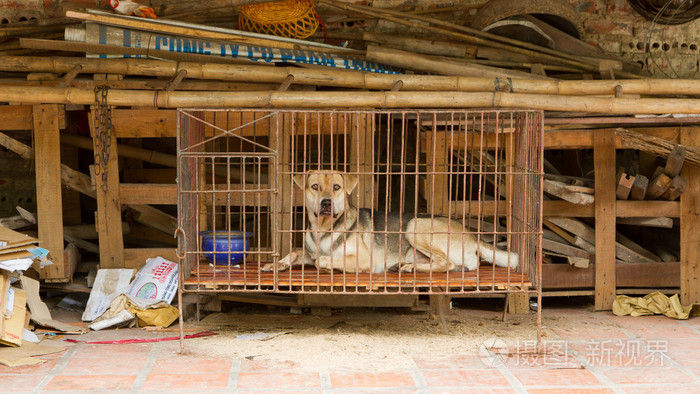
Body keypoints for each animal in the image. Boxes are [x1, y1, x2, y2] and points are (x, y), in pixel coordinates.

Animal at [260, 169, 516, 274]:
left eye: (336, 187)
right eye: (315, 187)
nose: (326, 203)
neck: (325, 229)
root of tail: (472, 235)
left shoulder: (365, 259)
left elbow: (321, 260)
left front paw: (324, 263)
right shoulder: (308, 249)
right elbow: (297, 251)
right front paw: (276, 264)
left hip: (414, 226)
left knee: (448, 263)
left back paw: (410, 268)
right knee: (455, 265)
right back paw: (404, 265)